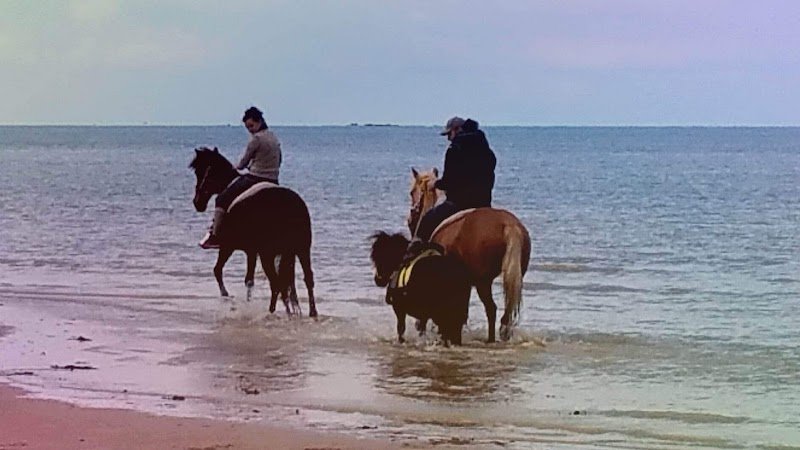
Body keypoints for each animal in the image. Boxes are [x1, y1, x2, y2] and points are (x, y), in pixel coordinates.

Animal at [189, 146, 318, 317]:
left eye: (200, 172)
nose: (197, 203)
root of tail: (290, 206)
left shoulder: (229, 246)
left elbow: (218, 270)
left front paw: (227, 296)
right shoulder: (251, 251)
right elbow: (249, 280)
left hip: (268, 254)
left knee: (276, 283)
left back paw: (274, 312)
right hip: (301, 250)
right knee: (305, 279)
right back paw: (309, 312)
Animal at [407, 168, 531, 342]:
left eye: (412, 192)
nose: (410, 218)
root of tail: (509, 225)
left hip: (483, 282)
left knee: (491, 309)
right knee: (505, 313)